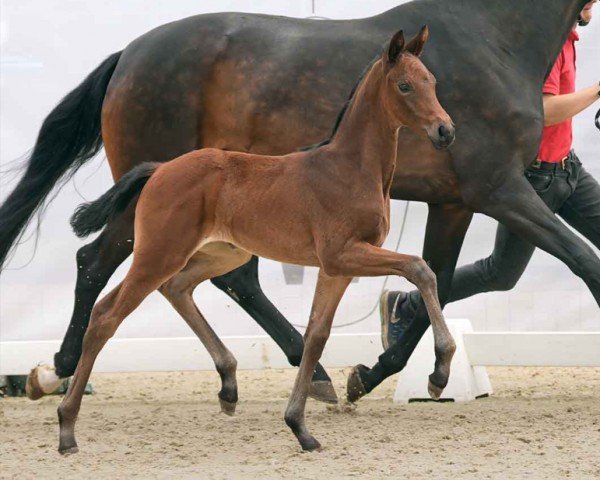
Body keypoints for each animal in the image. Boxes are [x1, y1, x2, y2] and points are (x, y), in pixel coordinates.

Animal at [59, 27, 454, 454]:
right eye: (404, 86)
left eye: (432, 82)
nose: (445, 130)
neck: (350, 169)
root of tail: (160, 168)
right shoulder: (342, 255)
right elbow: (420, 268)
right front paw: (439, 373)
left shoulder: (336, 268)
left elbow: (317, 335)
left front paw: (300, 427)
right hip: (159, 253)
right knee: (106, 315)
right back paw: (66, 428)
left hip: (220, 254)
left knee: (176, 287)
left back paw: (228, 386)